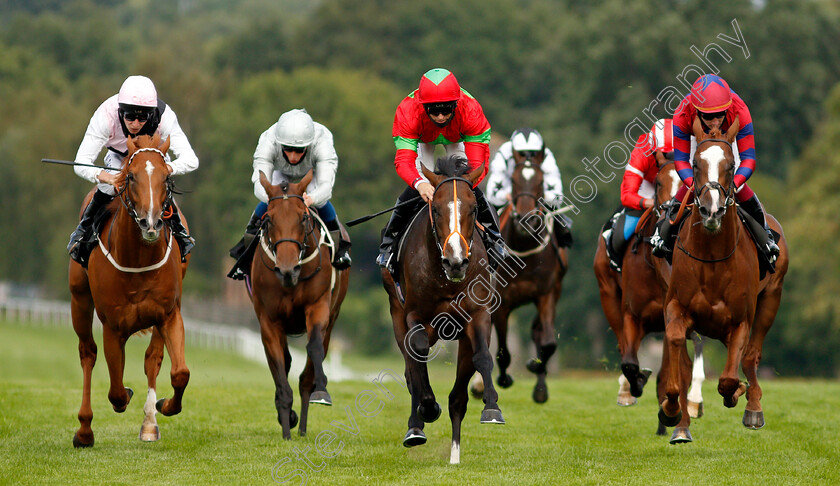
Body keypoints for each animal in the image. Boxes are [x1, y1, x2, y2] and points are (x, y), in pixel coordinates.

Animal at [67, 134, 192, 448]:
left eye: (166, 178)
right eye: (132, 176)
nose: (151, 222)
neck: (138, 258)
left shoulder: (169, 315)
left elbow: (179, 372)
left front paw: (164, 407)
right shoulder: (113, 326)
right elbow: (115, 389)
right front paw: (125, 396)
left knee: (153, 359)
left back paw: (149, 423)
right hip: (79, 300)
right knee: (87, 353)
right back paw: (84, 430)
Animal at [253, 169, 352, 438]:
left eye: (303, 218)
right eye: (269, 220)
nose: (287, 270)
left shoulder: (318, 308)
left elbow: (314, 348)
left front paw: (321, 392)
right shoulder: (269, 321)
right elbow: (278, 367)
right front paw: (286, 420)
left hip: (333, 316)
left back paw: (304, 425)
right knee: (284, 362)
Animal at [382, 156, 506, 464]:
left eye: (474, 208)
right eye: (436, 208)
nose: (456, 261)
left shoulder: (478, 315)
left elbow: (482, 357)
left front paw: (492, 408)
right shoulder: (414, 315)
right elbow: (417, 356)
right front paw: (427, 409)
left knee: (457, 397)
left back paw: (454, 455)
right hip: (397, 313)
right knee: (411, 368)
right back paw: (416, 427)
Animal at [476, 155, 568, 402]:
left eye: (541, 181)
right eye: (514, 181)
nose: (526, 220)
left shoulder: (546, 295)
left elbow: (548, 342)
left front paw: (535, 368)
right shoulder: (501, 302)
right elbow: (502, 352)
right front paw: (503, 379)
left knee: (538, 333)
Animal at [660, 118, 792, 444]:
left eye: (731, 165)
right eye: (696, 164)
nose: (711, 210)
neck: (713, 258)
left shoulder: (740, 320)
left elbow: (729, 378)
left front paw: (738, 394)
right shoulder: (676, 308)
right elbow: (676, 348)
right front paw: (672, 410)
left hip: (772, 298)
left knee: (750, 356)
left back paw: (753, 406)